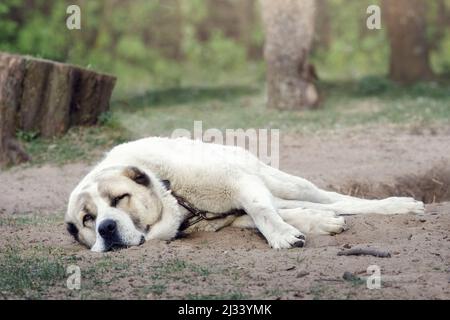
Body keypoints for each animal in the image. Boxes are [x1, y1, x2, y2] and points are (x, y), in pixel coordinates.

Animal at [65, 136, 424, 251]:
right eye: (88, 219)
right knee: (298, 206)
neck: (173, 192)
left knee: (337, 199)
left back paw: (401, 206)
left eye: (119, 199)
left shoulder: (239, 182)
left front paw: (281, 236)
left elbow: (261, 211)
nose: (106, 228)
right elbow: (266, 215)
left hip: (281, 181)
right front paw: (313, 224)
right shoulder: (230, 215)